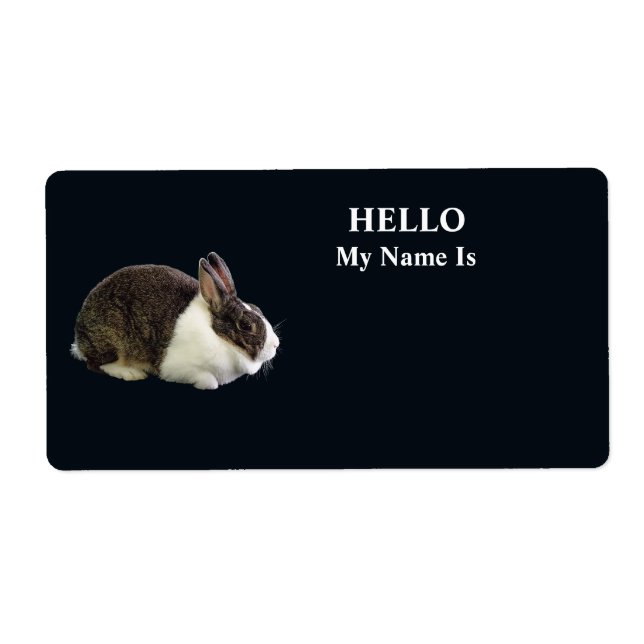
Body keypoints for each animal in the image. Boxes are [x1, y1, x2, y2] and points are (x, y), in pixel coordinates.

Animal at [71, 252, 280, 389]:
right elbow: (209, 381)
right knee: (96, 364)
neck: (218, 335)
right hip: (112, 337)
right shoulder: (178, 367)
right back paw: (130, 373)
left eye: (257, 308)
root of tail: (79, 341)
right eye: (245, 325)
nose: (276, 345)